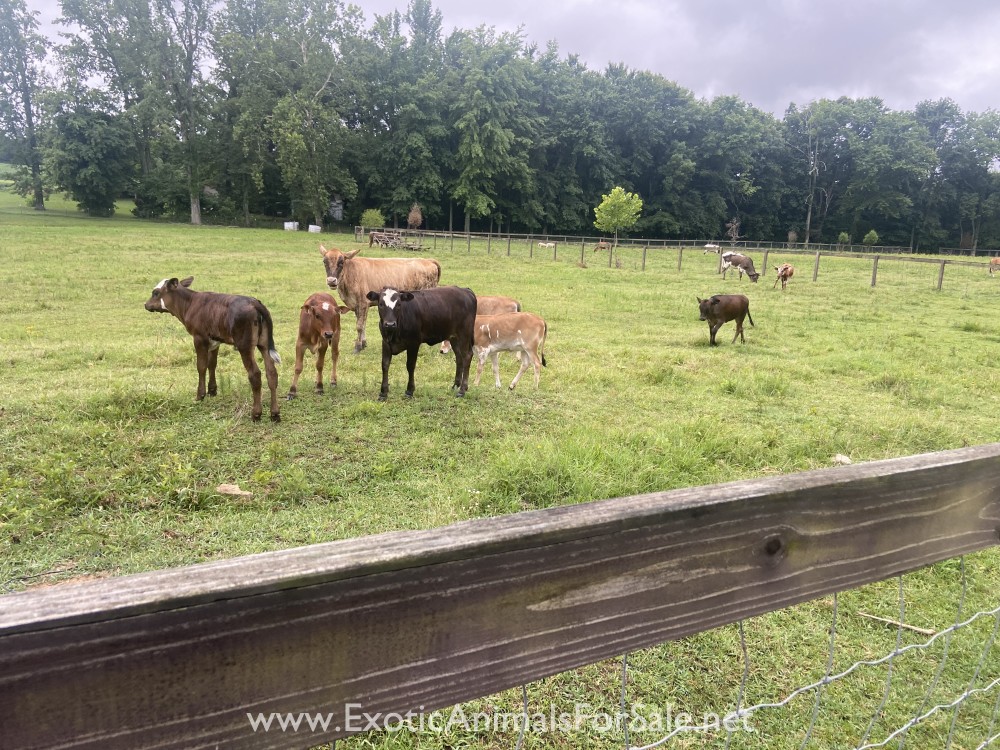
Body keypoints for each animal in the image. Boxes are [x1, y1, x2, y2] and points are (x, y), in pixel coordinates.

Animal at [144, 277, 281, 422]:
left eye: (156, 293)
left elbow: (201, 366)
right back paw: (275, 413)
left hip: (245, 345)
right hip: (264, 344)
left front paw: (200, 395)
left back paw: (256, 413)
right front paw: (212, 390)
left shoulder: (199, 338)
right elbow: (212, 364)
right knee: (272, 373)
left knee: (255, 374)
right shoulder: (215, 340)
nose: (146, 304)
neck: (190, 303)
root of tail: (255, 302)